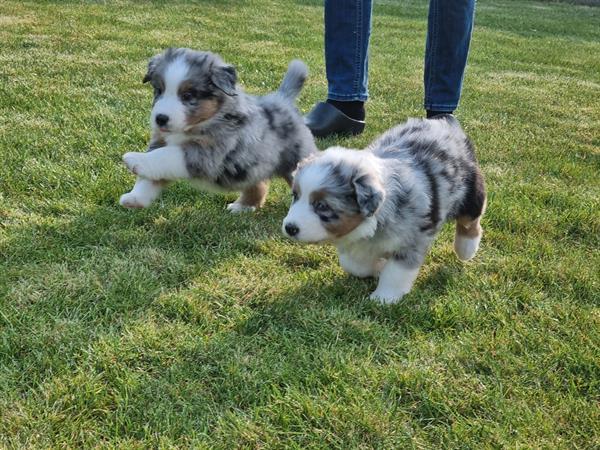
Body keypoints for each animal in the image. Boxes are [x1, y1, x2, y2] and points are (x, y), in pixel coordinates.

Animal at [120, 47, 318, 211]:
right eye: (159, 90)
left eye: (188, 95)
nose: (160, 119)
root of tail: (283, 99)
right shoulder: (161, 141)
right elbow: (149, 178)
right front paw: (134, 199)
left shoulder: (209, 153)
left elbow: (167, 156)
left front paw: (135, 159)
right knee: (259, 183)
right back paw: (243, 207)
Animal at [282, 115, 488, 306]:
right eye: (295, 196)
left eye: (322, 206)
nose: (290, 228)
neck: (375, 221)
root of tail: (447, 122)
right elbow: (353, 265)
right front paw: (378, 267)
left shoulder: (410, 242)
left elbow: (395, 273)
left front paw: (383, 298)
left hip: (471, 193)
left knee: (471, 223)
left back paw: (466, 249)